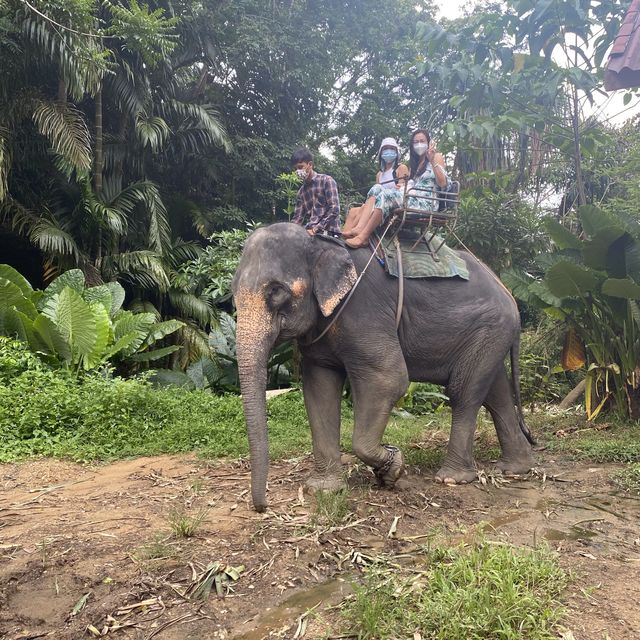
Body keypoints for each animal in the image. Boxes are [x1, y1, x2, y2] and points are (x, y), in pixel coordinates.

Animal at [232, 222, 532, 512]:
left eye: (276, 292)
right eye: (232, 295)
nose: (262, 507)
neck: (320, 242)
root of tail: (507, 292)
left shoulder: (362, 311)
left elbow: (388, 379)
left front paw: (393, 467)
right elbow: (319, 390)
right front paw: (323, 490)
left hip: (490, 328)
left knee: (463, 393)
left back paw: (452, 478)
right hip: (491, 335)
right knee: (495, 393)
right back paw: (515, 469)